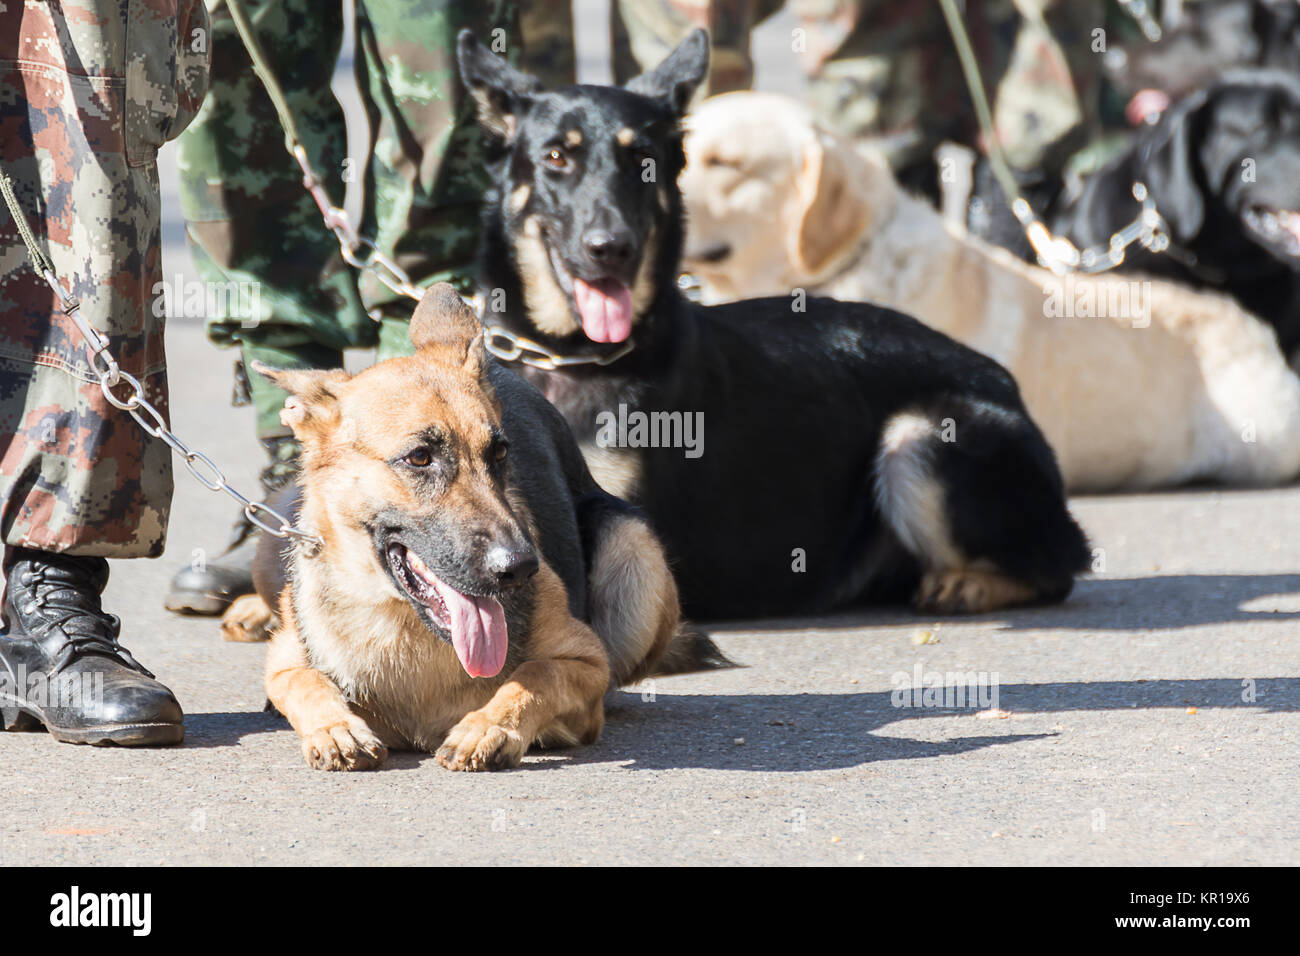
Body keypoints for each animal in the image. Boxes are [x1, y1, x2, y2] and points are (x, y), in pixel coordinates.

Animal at [457, 29, 1097, 621]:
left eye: (643, 163)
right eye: (556, 159)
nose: (611, 249)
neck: (566, 354)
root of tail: (1003, 381)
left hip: (918, 435)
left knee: (1058, 568)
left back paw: (968, 584)